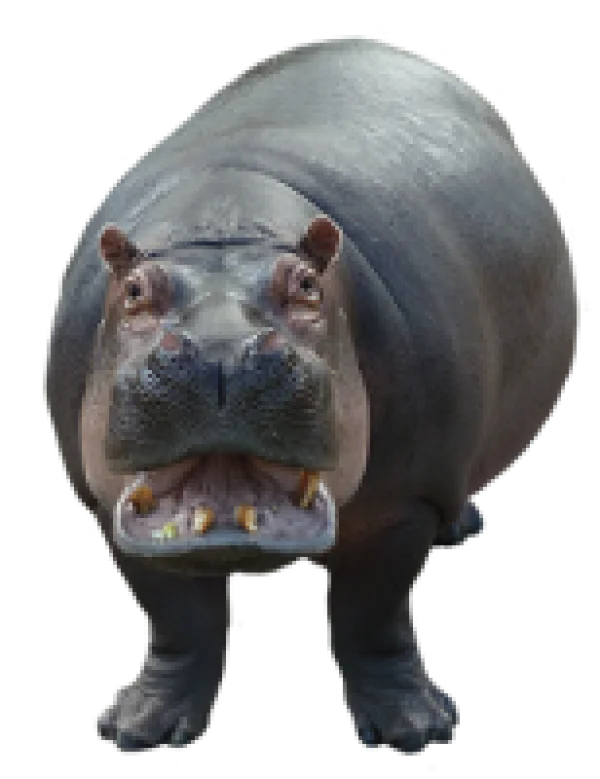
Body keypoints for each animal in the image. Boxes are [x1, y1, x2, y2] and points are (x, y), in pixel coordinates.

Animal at [40, 31, 584, 761]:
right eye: (133, 291)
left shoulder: (401, 502)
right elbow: (174, 618)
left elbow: (372, 614)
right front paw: (136, 728)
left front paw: (416, 729)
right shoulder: (105, 504)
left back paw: (463, 526)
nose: (221, 352)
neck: (224, 231)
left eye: (305, 285)